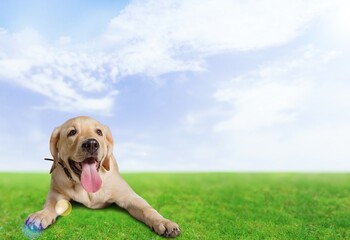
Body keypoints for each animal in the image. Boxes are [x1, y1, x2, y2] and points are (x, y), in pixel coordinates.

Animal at [25, 116, 180, 238]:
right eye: (72, 132)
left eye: (99, 132)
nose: (91, 144)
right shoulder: (56, 193)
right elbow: (51, 205)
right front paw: (41, 215)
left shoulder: (128, 196)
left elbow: (146, 208)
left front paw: (163, 222)